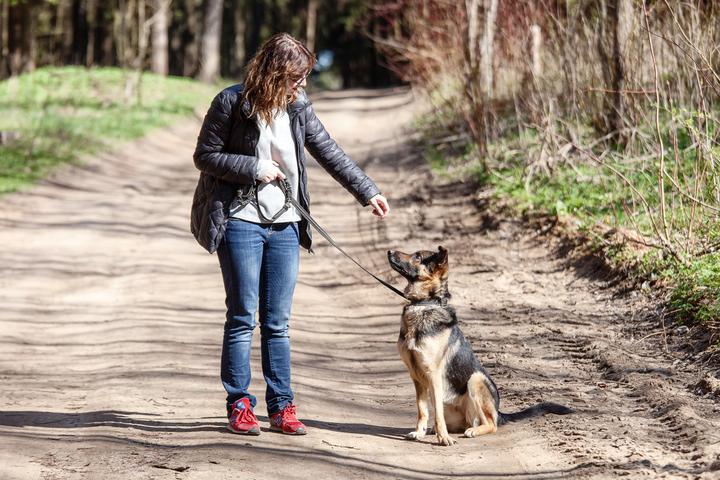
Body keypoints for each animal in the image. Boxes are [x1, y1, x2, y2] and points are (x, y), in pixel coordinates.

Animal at [388, 248, 572, 446]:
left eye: (417, 256)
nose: (389, 251)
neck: (424, 304)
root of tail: (498, 412)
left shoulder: (434, 374)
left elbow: (437, 414)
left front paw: (443, 438)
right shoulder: (416, 376)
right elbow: (422, 409)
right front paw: (419, 432)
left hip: (476, 380)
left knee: (491, 423)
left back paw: (473, 431)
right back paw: (434, 430)